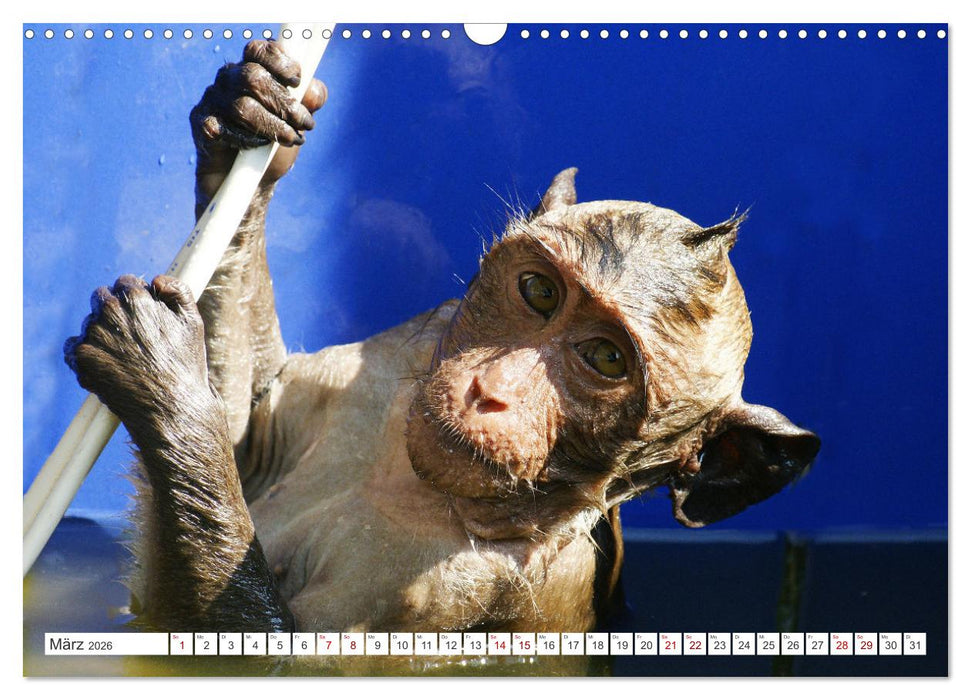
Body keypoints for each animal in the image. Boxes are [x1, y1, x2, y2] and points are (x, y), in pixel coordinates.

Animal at [63, 39, 819, 634]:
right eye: (540, 292)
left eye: (606, 358)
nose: (491, 389)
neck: (422, 486)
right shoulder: (365, 376)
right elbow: (250, 431)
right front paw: (247, 114)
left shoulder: (456, 591)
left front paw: (164, 378)